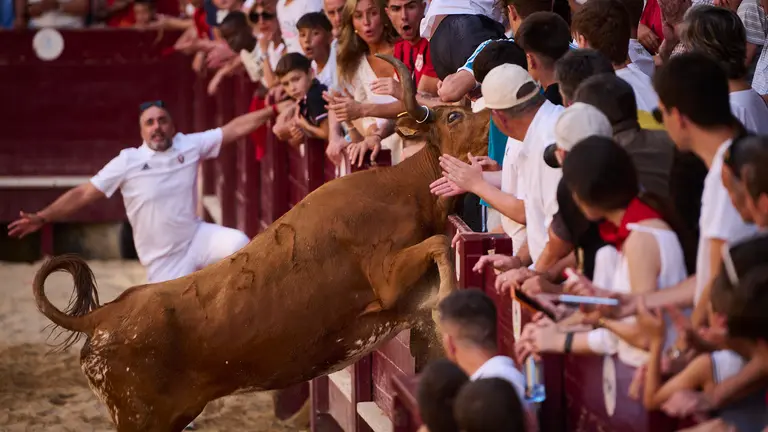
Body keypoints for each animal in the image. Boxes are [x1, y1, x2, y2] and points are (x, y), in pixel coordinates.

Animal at [32, 55, 490, 432]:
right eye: (453, 116)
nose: (494, 118)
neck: (403, 188)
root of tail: (102, 316)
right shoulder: (386, 280)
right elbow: (438, 242)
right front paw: (451, 298)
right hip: (141, 419)